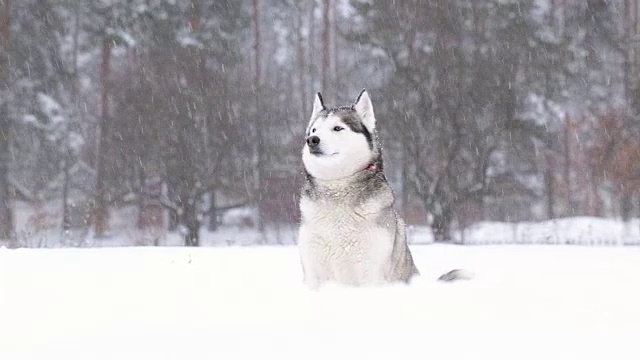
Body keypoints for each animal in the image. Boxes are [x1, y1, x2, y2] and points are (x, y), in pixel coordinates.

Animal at [298, 90, 420, 290]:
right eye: (314, 130)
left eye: (337, 128)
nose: (312, 140)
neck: (337, 185)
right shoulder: (313, 270)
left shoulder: (371, 269)